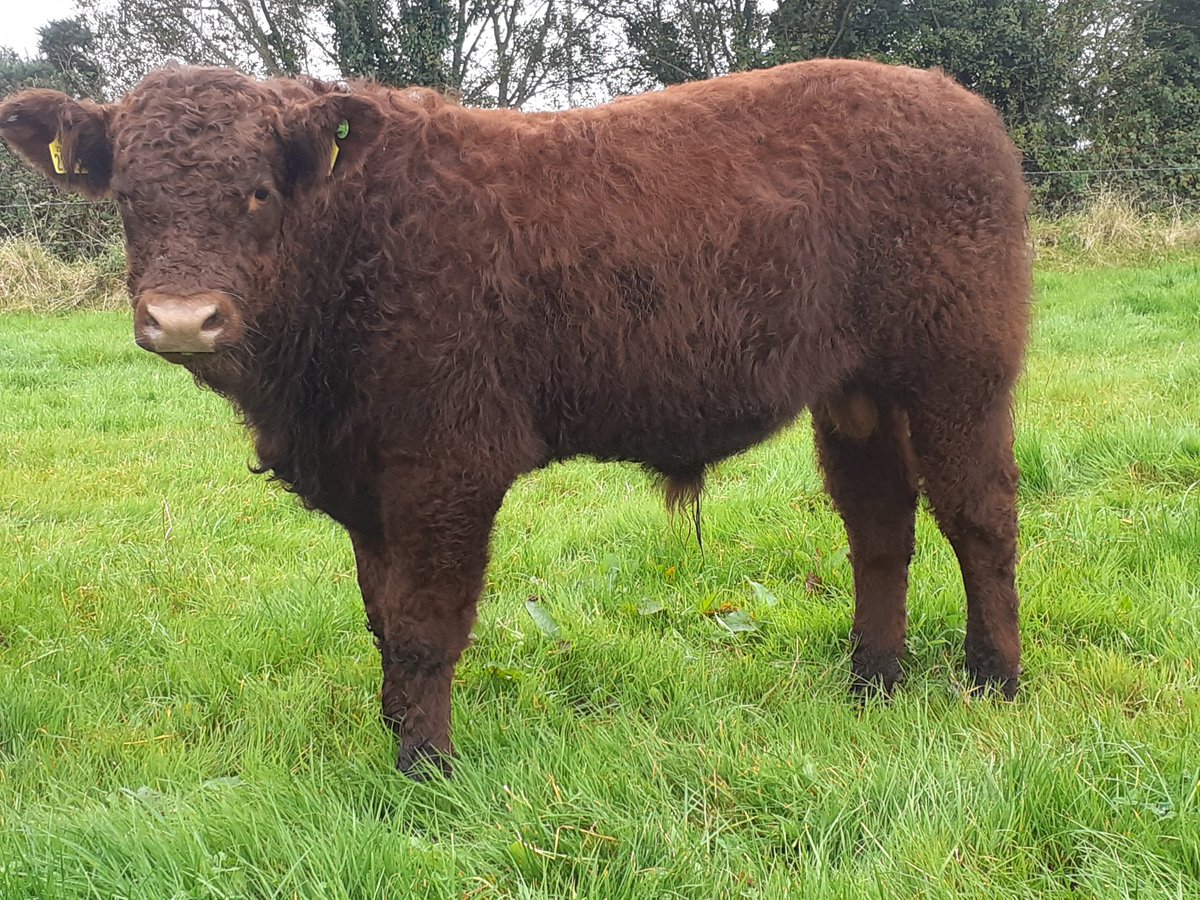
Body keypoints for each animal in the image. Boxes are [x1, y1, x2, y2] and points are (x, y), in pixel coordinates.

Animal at [0, 59, 1031, 777]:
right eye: (128, 197)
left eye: (256, 190)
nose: (183, 318)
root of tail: (957, 101)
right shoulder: (369, 483)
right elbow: (382, 618)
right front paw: (397, 732)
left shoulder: (446, 464)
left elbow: (426, 623)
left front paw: (426, 772)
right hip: (857, 395)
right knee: (880, 525)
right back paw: (874, 683)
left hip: (962, 370)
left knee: (979, 517)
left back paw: (994, 682)